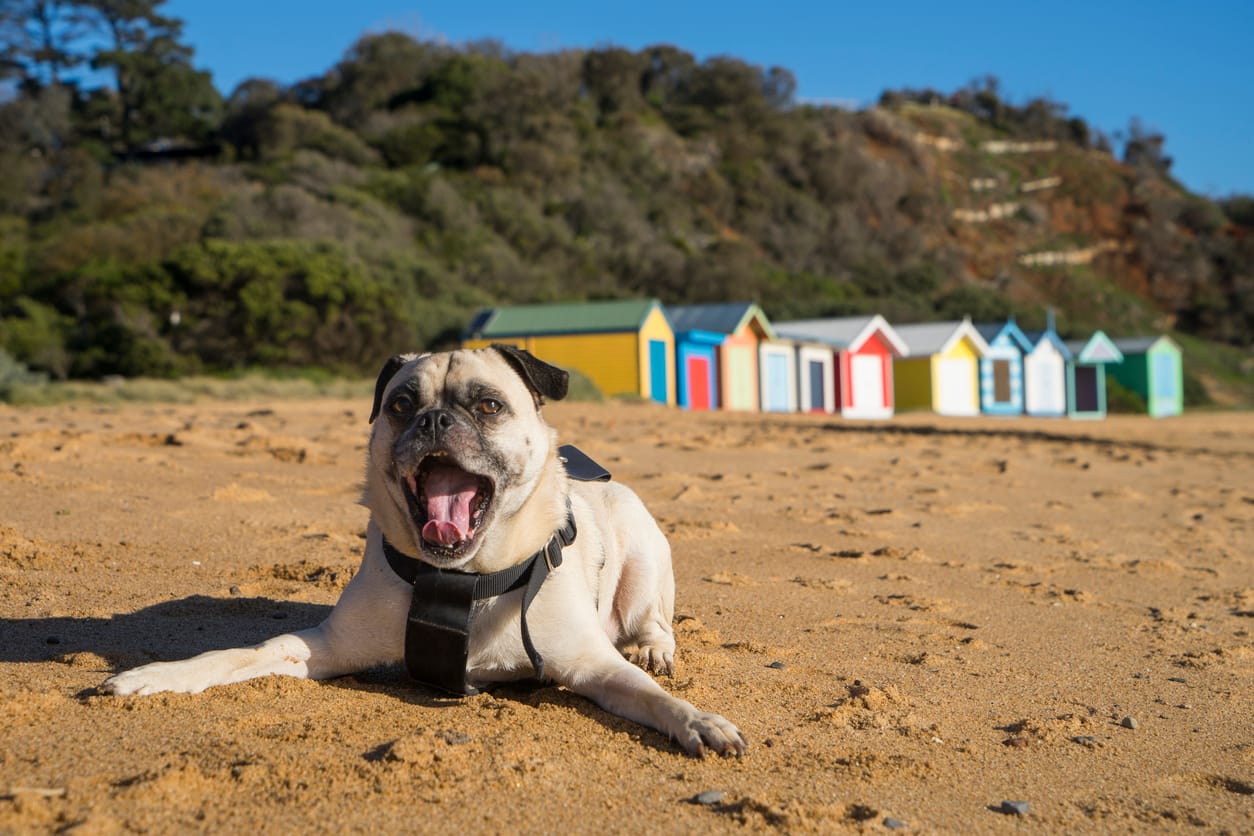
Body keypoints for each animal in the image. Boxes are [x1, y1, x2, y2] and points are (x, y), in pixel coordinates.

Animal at [102, 345, 742, 757]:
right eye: (401, 405)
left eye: (488, 406)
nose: (434, 419)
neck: (462, 578)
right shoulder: (321, 648)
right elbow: (241, 653)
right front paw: (156, 677)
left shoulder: (591, 664)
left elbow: (649, 696)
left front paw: (696, 721)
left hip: (643, 563)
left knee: (654, 623)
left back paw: (655, 649)